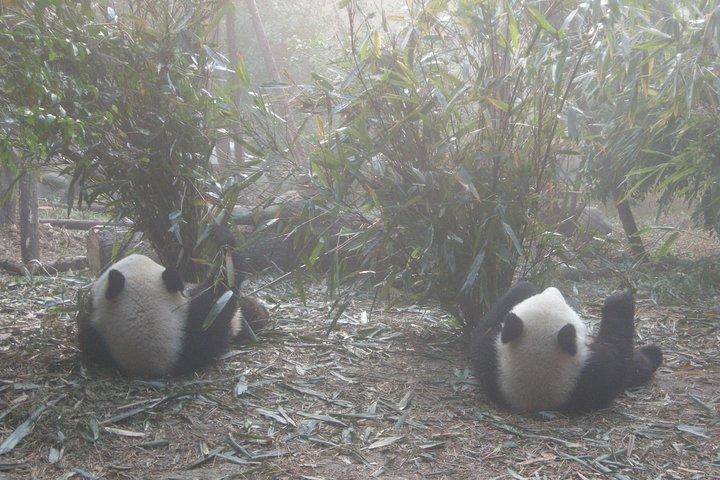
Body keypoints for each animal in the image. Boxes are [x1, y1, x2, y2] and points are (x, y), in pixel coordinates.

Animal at [470, 282, 663, 413]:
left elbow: (483, 331)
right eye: (562, 301)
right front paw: (619, 300)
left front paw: (524, 287)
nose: (552, 288)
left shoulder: (491, 363)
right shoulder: (590, 379)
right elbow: (623, 362)